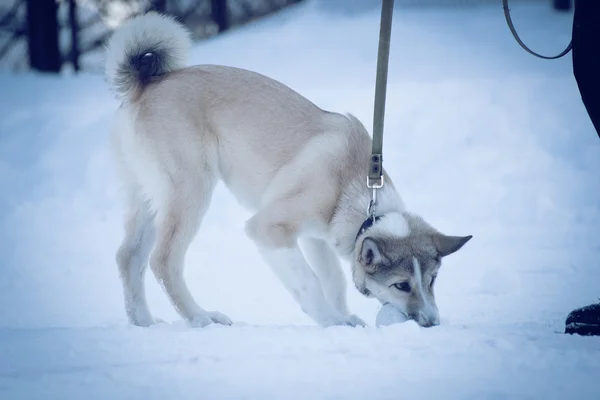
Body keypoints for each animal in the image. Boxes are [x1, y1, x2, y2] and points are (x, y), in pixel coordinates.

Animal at [106, 12, 474, 330]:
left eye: (432, 280)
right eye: (401, 285)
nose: (433, 322)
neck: (353, 185)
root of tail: (147, 82)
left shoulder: (315, 237)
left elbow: (332, 278)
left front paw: (343, 317)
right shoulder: (269, 229)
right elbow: (309, 282)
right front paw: (332, 320)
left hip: (148, 198)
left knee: (128, 257)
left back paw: (143, 321)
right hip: (190, 191)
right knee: (162, 260)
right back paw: (200, 318)